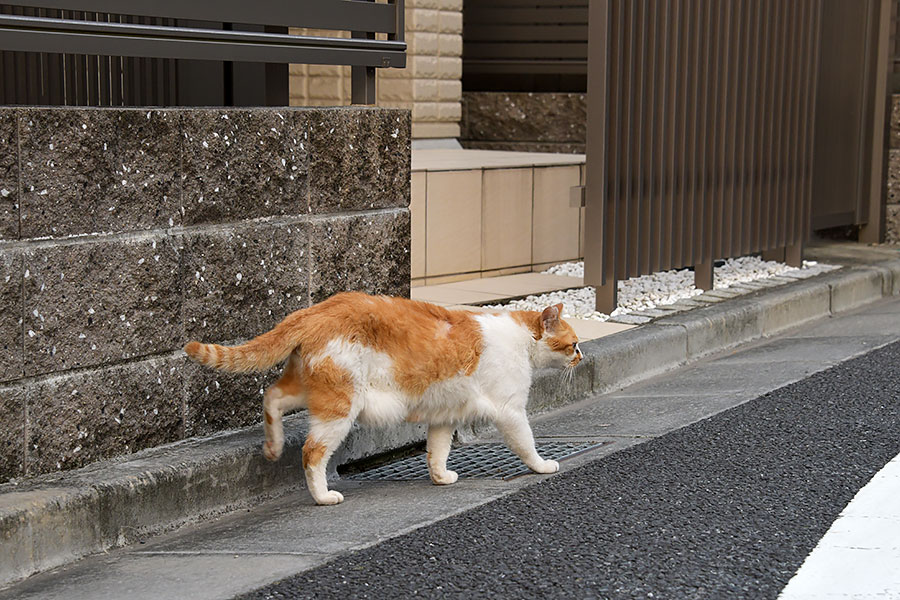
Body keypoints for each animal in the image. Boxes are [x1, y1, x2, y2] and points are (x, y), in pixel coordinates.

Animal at [186, 292, 588, 504]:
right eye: (573, 344)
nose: (582, 357)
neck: (520, 339)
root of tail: (315, 309)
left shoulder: (443, 416)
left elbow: (437, 450)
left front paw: (440, 477)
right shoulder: (510, 411)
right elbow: (526, 444)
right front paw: (543, 465)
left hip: (308, 387)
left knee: (272, 397)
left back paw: (272, 446)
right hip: (339, 406)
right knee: (311, 452)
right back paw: (322, 496)